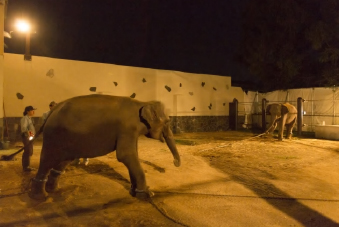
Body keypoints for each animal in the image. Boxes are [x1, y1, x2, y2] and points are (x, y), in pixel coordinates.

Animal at [29, 94, 181, 200]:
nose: (174, 163)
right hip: (53, 136)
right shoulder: (127, 129)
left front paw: (134, 192)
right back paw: (40, 197)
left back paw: (54, 190)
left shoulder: (130, 132)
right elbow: (125, 155)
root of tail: (52, 110)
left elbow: (132, 156)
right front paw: (148, 194)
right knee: (47, 161)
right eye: (167, 121)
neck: (142, 102)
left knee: (62, 162)